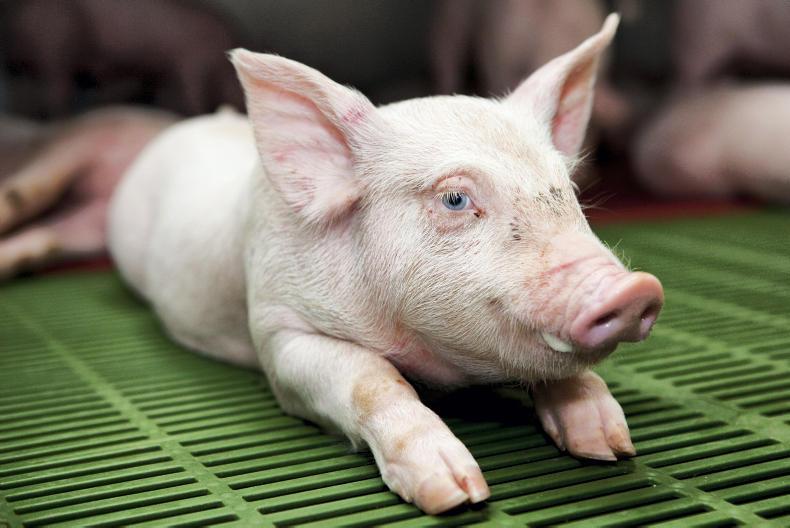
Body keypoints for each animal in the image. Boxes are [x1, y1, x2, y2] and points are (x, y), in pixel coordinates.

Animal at [109, 15, 664, 514]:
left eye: (566, 190)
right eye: (455, 198)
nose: (636, 290)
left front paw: (611, 447)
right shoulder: (278, 325)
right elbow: (369, 378)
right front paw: (458, 494)